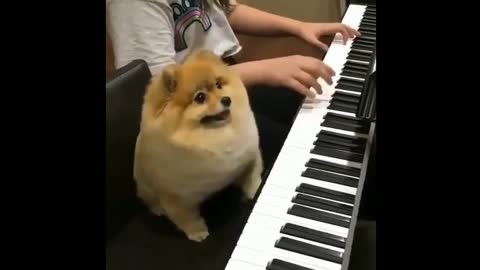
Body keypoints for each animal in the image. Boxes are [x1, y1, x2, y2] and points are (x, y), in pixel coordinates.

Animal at [133, 49, 264, 242]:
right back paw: (158, 209)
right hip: (145, 185)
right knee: (150, 199)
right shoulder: (176, 197)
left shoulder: (247, 160)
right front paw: (197, 232)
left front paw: (255, 191)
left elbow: (252, 177)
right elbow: (186, 218)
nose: (227, 99)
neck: (215, 138)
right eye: (200, 97)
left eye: (218, 85)